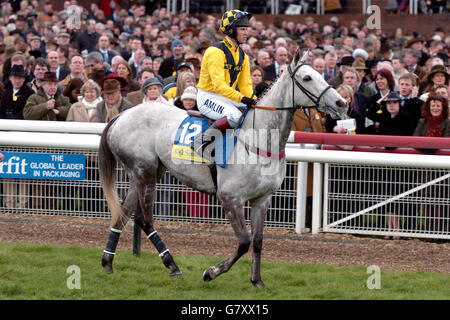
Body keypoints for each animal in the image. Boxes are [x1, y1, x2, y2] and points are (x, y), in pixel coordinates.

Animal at [97, 52, 344, 288]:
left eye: (321, 74)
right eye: (307, 78)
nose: (341, 103)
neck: (258, 140)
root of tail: (121, 115)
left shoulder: (262, 199)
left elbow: (257, 241)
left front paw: (257, 280)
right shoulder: (230, 198)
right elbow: (244, 242)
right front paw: (211, 272)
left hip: (145, 173)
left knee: (122, 215)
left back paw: (108, 262)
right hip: (144, 171)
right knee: (144, 219)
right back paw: (172, 265)